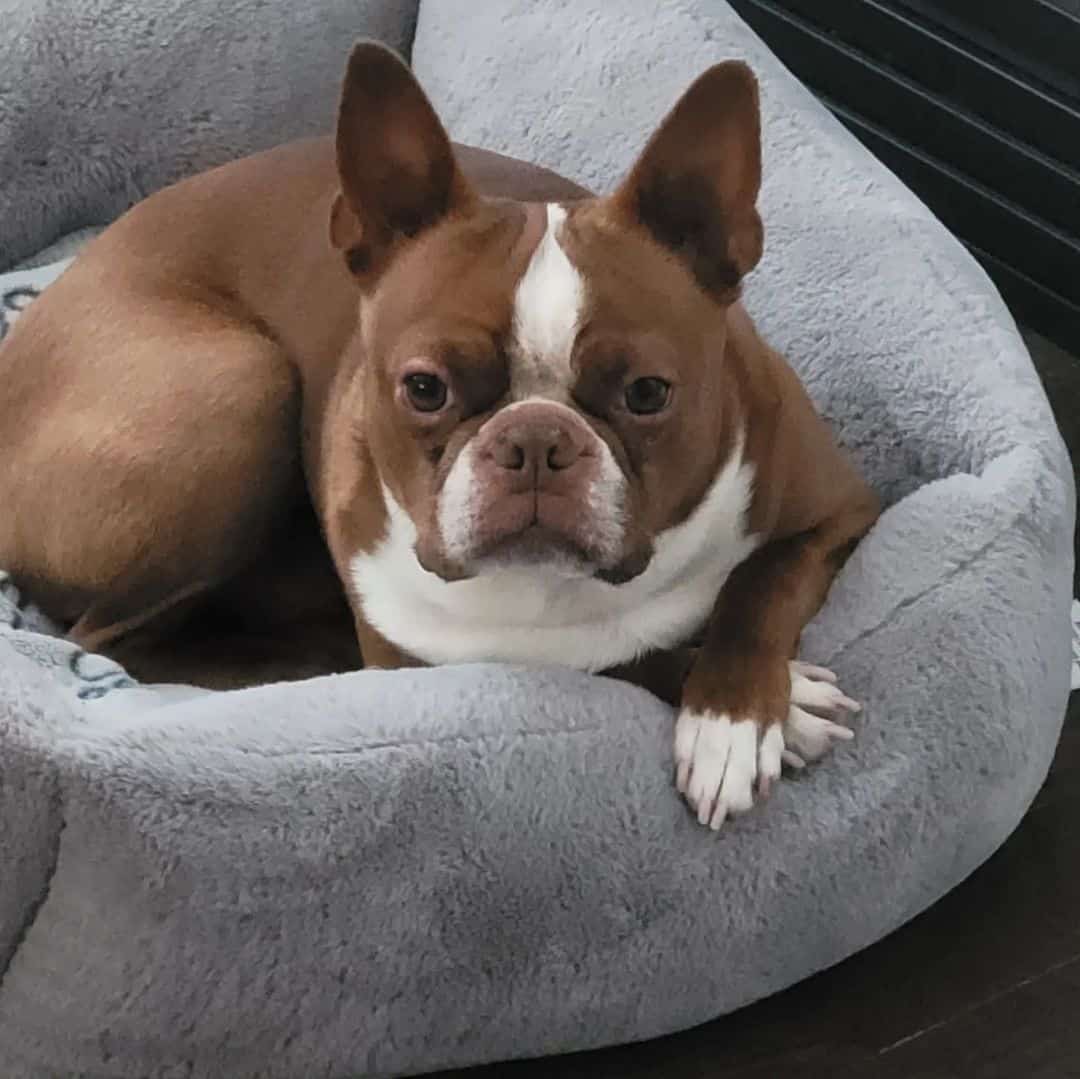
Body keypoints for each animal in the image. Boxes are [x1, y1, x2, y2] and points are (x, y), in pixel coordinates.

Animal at [0, 42, 876, 829]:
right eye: (425, 388)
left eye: (647, 393)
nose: (535, 440)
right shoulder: (428, 654)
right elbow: (620, 659)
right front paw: (775, 709)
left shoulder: (839, 508)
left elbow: (761, 584)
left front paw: (734, 716)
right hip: (240, 386)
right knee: (110, 639)